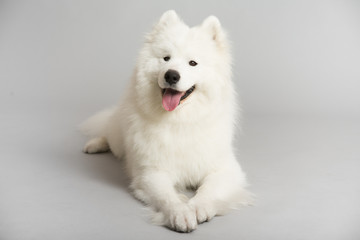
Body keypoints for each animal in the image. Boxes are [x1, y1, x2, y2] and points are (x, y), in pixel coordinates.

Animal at [81, 10, 250, 232]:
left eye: (192, 63)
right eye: (166, 58)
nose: (171, 75)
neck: (181, 122)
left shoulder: (225, 169)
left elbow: (208, 190)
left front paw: (199, 207)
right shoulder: (151, 173)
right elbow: (168, 197)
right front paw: (181, 213)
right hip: (118, 137)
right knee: (109, 135)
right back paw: (94, 144)